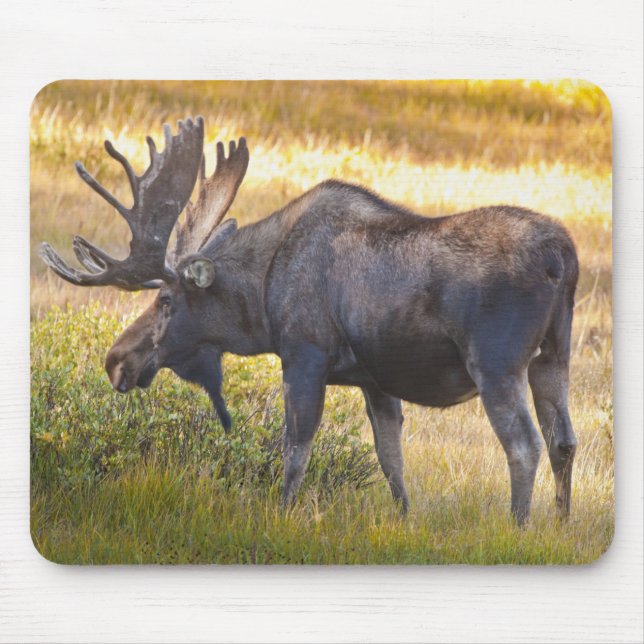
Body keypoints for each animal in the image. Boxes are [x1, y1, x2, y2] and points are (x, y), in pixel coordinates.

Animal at [40, 117, 579, 525]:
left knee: (524, 444)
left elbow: (294, 449)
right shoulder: (375, 380)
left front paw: (281, 513)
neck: (261, 298)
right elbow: (391, 460)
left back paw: (519, 526)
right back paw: (561, 523)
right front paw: (405, 519)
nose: (116, 360)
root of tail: (563, 256)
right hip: (553, 355)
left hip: (496, 362)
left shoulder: (304, 354)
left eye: (168, 299)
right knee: (564, 441)